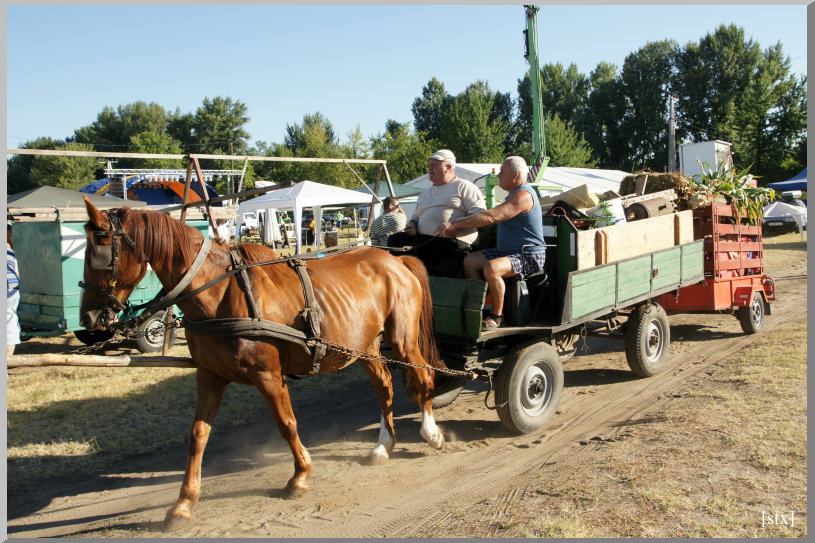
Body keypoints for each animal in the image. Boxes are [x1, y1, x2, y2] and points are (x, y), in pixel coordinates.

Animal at [78, 199, 446, 532]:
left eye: (98, 255)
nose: (88, 319)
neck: (220, 293)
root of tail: (394, 259)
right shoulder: (209, 377)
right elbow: (197, 436)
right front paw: (183, 504)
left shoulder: (268, 375)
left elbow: (286, 424)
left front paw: (300, 476)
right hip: (364, 347)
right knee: (384, 386)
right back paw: (383, 445)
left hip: (402, 340)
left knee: (424, 377)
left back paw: (430, 433)